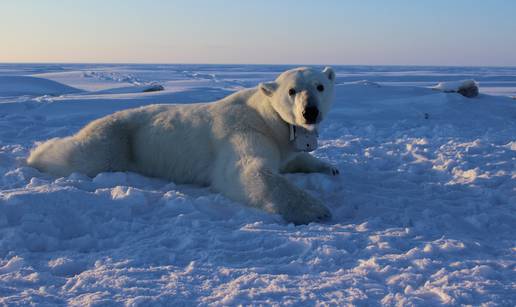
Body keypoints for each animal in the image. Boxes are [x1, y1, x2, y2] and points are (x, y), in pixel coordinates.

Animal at [27, 67, 338, 224]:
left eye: (320, 86)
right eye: (292, 90)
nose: (310, 112)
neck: (265, 116)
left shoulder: (281, 141)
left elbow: (293, 159)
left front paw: (330, 168)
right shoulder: (244, 132)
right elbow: (246, 171)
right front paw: (316, 209)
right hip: (119, 140)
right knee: (82, 155)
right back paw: (35, 155)